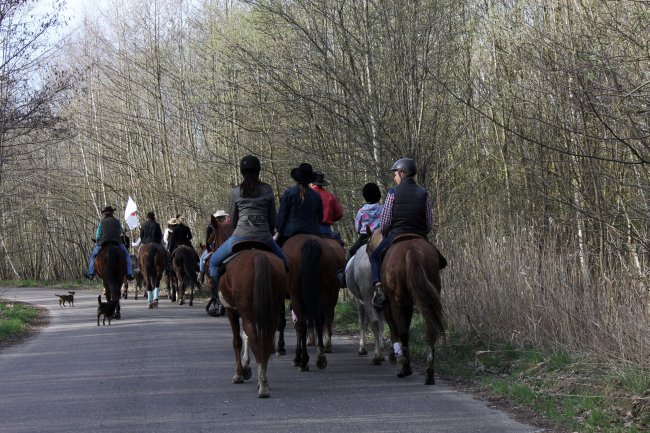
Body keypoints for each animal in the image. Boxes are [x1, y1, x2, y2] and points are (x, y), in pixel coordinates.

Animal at [216, 241, 284, 396]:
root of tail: (258, 256)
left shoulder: (231, 311)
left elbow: (237, 341)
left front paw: (239, 373)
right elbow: (246, 337)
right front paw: (246, 367)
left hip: (247, 314)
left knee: (255, 340)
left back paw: (263, 386)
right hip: (272, 312)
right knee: (266, 341)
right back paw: (263, 380)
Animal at [274, 235, 336, 370]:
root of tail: (310, 242)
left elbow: (284, 322)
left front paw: (282, 349)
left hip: (296, 295)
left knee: (302, 325)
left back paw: (303, 361)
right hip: (322, 292)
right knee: (319, 320)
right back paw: (321, 356)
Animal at [368, 231, 442, 384]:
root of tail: (412, 250)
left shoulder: (389, 305)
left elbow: (394, 329)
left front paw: (396, 357)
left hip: (398, 301)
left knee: (402, 331)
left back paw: (405, 367)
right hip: (428, 297)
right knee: (430, 331)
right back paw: (429, 372)